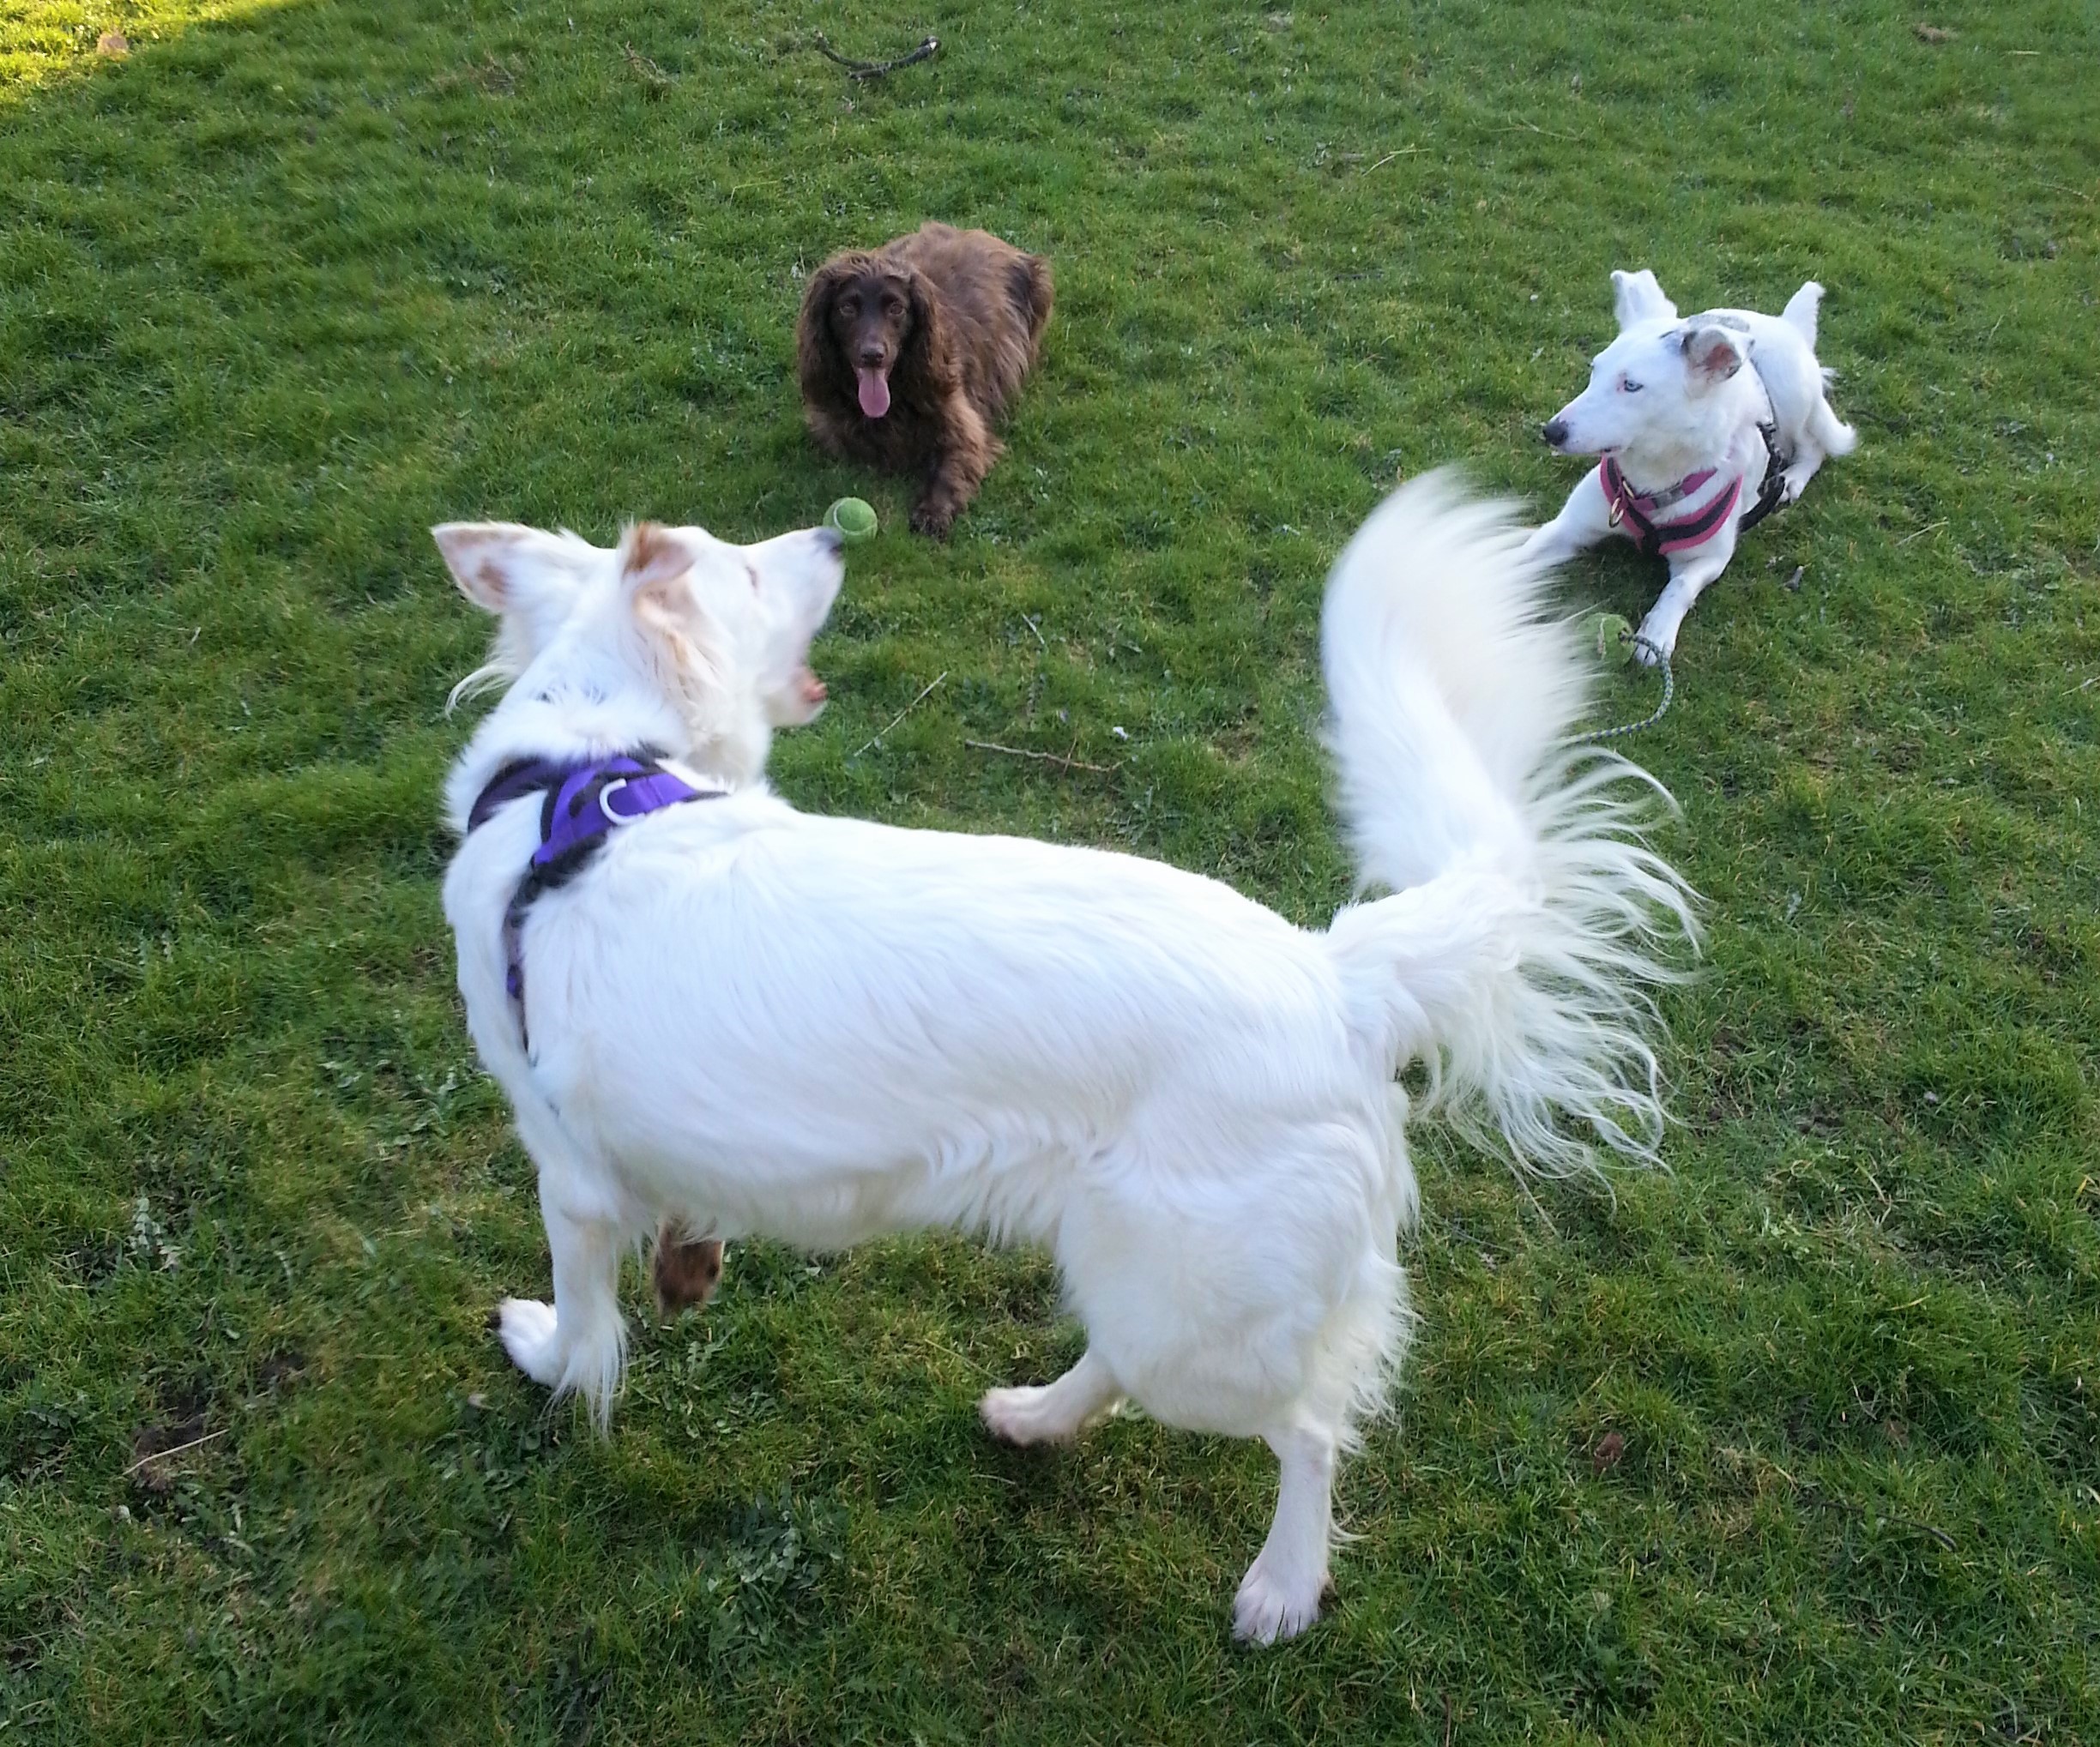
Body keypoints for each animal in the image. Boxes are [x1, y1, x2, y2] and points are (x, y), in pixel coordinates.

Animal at [434, 474, 1696, 1637]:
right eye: (745, 569)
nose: (840, 534)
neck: (578, 786)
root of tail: (1337, 976)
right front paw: (689, 1263)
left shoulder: (569, 1177)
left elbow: (582, 1326)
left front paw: (545, 1352)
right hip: (1142, 1271)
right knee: (1132, 1368)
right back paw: (1035, 1419)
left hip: (1200, 1317)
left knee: (1312, 1428)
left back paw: (1282, 1587)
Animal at [789, 224, 1050, 537]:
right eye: (847, 308)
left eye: (896, 308)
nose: (873, 355)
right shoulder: (830, 426)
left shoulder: (963, 426)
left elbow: (951, 468)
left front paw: (932, 511)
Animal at [1529, 268, 1856, 663]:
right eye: (1595, 370)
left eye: (1631, 385)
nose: (1551, 431)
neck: (1652, 480)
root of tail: (1784, 323)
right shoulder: (1567, 527)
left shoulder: (1710, 559)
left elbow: (1680, 586)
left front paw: (1656, 631)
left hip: (1795, 395)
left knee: (1813, 447)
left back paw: (1792, 479)